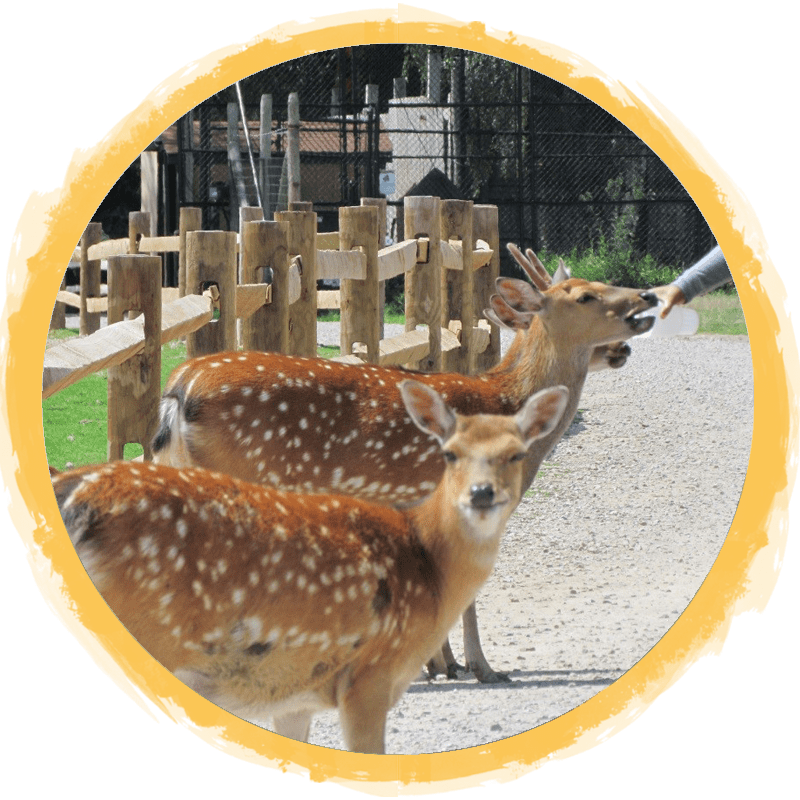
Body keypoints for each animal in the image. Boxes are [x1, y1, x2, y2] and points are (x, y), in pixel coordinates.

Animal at [53, 381, 569, 754]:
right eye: (449, 452)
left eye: (517, 453)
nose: (481, 494)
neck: (428, 568)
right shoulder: (367, 678)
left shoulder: (295, 695)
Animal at [152, 244, 658, 683]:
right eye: (586, 295)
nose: (648, 297)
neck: (505, 404)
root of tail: (180, 388)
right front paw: (478, 667)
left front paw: (442, 664)